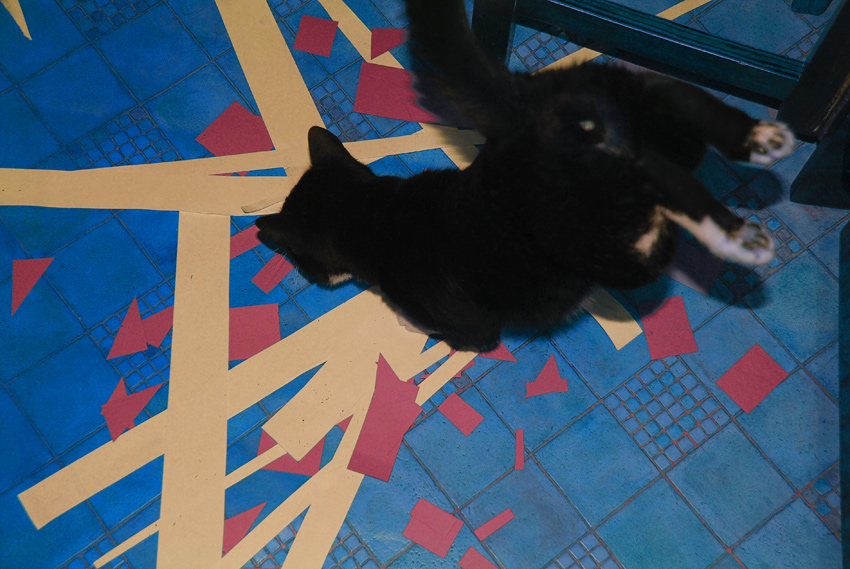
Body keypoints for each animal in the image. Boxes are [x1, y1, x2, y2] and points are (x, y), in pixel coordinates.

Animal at [255, 0, 795, 352]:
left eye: (301, 262)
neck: (376, 214)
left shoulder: (472, 328)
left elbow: (450, 333)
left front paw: (408, 325)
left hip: (610, 247)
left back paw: (735, 237)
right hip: (642, 106)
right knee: (677, 98)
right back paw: (760, 138)